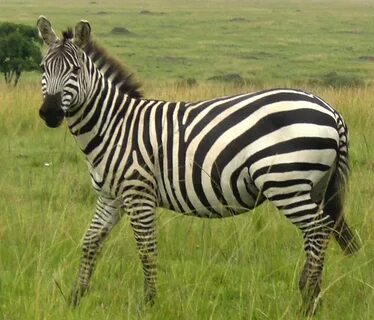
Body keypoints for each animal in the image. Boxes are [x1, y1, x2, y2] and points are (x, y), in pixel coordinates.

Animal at [36, 16, 358, 314]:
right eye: (42, 69)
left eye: (75, 71)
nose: (50, 113)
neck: (114, 126)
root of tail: (331, 111)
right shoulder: (111, 196)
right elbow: (91, 242)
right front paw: (75, 298)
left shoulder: (139, 193)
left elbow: (146, 249)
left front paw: (149, 303)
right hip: (313, 186)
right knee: (319, 232)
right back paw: (311, 294)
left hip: (285, 183)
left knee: (318, 229)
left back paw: (308, 300)